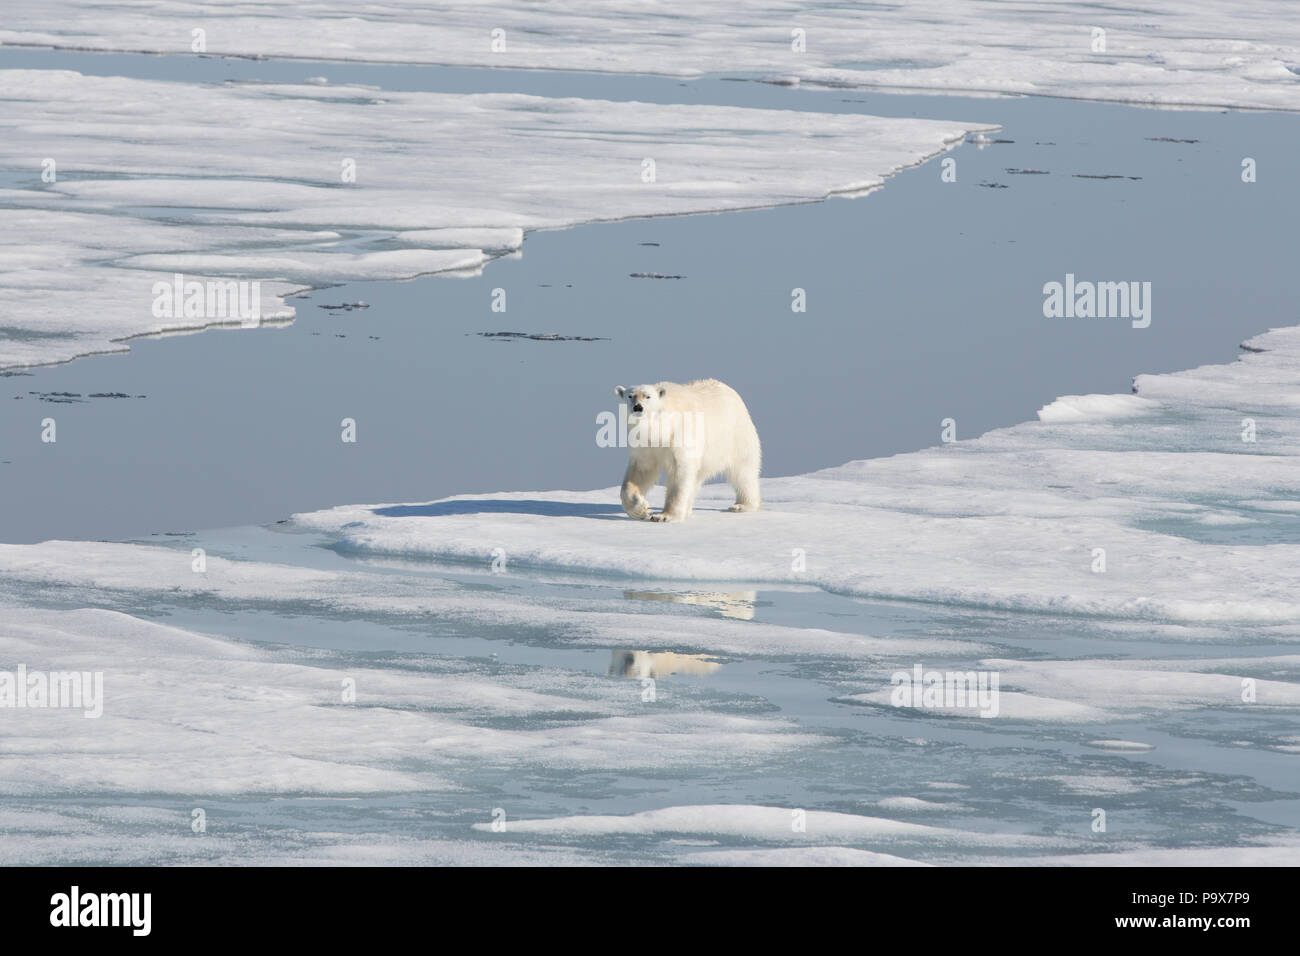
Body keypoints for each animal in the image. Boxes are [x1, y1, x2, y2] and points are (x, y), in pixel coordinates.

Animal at [611, 377, 759, 522]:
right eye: (630, 396)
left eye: (648, 396)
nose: (638, 407)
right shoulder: (644, 446)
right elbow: (640, 471)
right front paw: (641, 509)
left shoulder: (680, 436)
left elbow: (679, 473)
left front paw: (664, 516)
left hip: (735, 436)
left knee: (743, 471)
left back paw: (742, 505)